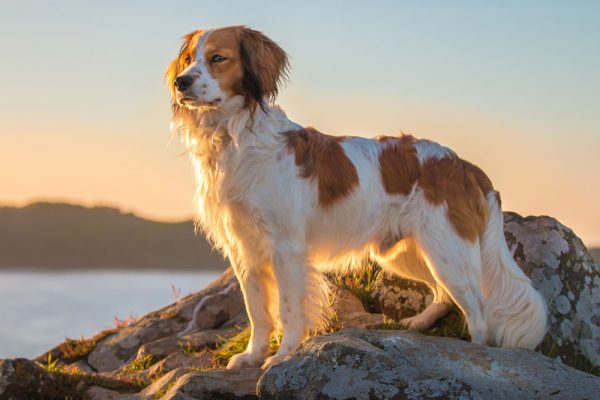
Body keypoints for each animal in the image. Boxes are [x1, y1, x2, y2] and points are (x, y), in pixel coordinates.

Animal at [164, 25, 548, 368]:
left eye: (218, 58)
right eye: (188, 59)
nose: (181, 82)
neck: (235, 138)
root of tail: (464, 165)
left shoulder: (286, 248)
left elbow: (288, 310)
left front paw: (283, 355)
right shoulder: (244, 250)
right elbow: (258, 312)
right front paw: (253, 356)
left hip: (446, 252)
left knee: (478, 313)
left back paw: (477, 350)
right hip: (408, 253)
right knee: (442, 295)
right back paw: (417, 324)